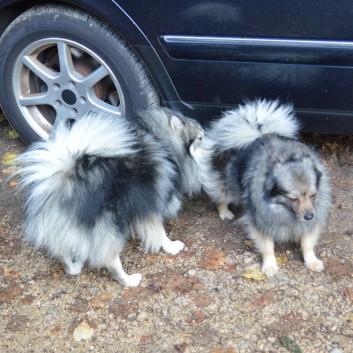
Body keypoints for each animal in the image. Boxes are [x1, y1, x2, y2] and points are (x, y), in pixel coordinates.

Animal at [15, 109, 204, 286]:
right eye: (200, 138)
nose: (208, 136)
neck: (161, 140)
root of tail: (64, 181)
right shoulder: (150, 204)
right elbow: (160, 233)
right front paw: (171, 247)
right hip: (108, 229)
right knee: (111, 261)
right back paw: (129, 281)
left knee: (63, 255)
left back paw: (74, 267)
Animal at [190, 98, 330, 276]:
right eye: (293, 198)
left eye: (313, 195)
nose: (309, 216)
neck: (283, 209)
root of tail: (255, 135)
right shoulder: (261, 220)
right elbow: (268, 246)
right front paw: (269, 265)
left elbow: (307, 243)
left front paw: (311, 260)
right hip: (228, 185)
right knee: (222, 196)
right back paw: (224, 211)